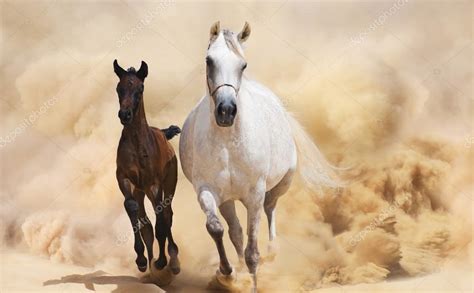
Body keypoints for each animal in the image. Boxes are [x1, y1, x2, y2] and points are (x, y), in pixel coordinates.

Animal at [115, 58, 181, 274]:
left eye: (140, 88)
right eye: (119, 88)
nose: (125, 115)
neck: (138, 145)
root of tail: (163, 133)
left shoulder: (154, 184)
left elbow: (161, 221)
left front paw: (162, 261)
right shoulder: (124, 178)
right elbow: (133, 209)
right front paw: (142, 260)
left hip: (168, 184)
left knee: (166, 214)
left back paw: (172, 259)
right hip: (140, 190)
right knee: (147, 221)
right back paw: (152, 261)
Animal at [179, 21, 340, 286]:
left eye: (242, 65)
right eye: (209, 60)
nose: (226, 111)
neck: (228, 143)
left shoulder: (254, 194)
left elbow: (253, 252)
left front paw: (253, 279)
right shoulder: (207, 190)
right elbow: (217, 228)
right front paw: (227, 272)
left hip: (280, 184)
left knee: (270, 209)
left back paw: (273, 252)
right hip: (228, 200)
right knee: (235, 231)